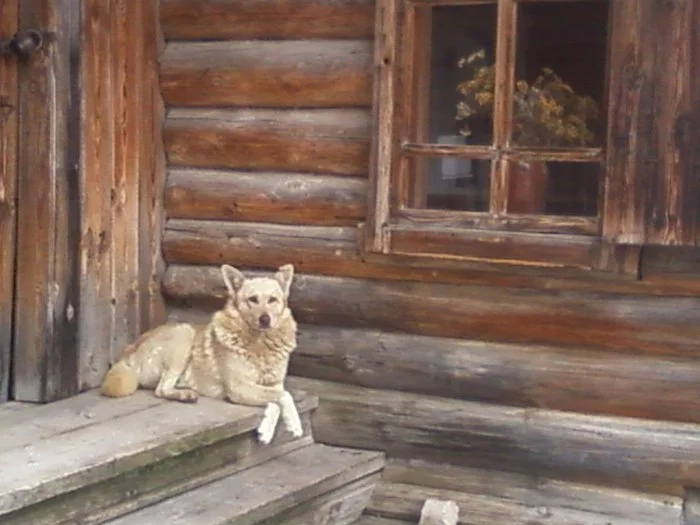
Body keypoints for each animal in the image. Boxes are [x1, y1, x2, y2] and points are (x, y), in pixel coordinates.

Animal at [100, 262, 302, 442]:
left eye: (272, 300)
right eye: (253, 299)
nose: (265, 319)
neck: (260, 344)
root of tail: (128, 352)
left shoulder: (274, 385)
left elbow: (277, 401)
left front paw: (267, 429)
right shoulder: (238, 387)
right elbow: (285, 396)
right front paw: (296, 425)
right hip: (183, 336)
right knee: (161, 389)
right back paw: (184, 395)